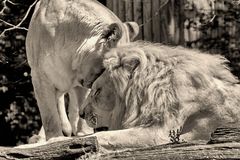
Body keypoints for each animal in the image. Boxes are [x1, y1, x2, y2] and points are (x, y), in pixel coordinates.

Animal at [25, 0, 139, 143]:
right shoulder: (40, 75)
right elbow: (49, 112)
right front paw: (55, 138)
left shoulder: (86, 82)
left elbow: (84, 104)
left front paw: (84, 133)